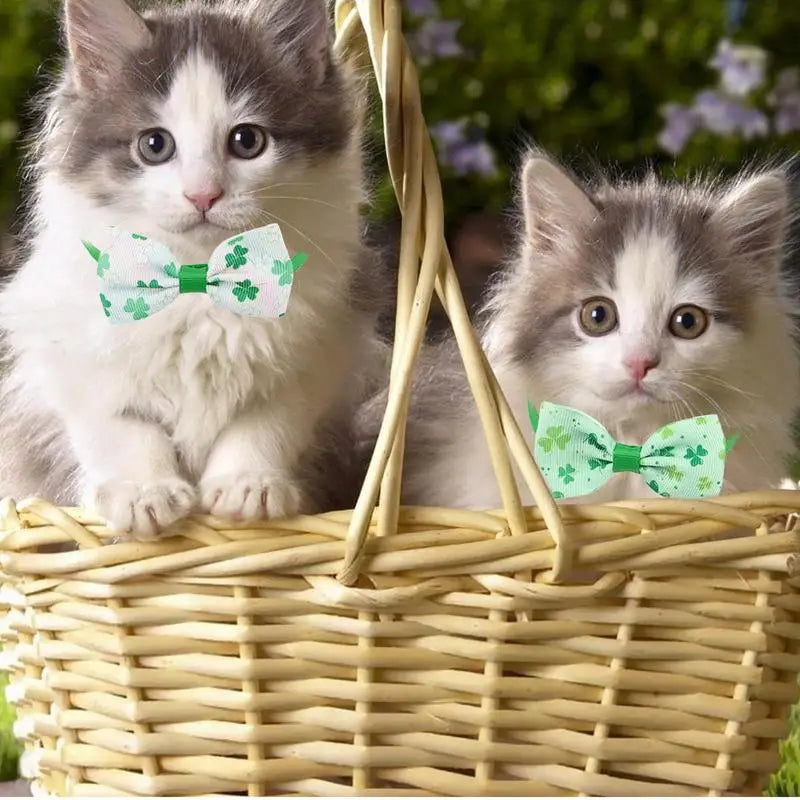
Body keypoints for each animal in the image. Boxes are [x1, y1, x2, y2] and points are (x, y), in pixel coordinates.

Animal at [0, 0, 388, 540]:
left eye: (247, 140)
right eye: (154, 145)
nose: (203, 195)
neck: (197, 279)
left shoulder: (322, 347)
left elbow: (267, 419)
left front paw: (248, 485)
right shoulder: (65, 353)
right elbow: (118, 424)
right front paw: (144, 492)